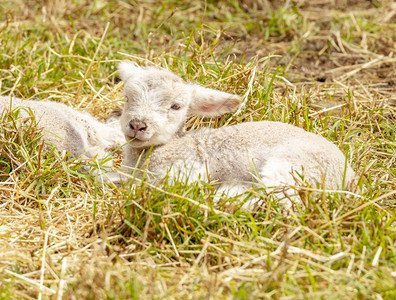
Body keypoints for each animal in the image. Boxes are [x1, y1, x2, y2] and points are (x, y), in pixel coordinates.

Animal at [115, 63, 356, 209]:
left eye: (176, 106)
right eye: (127, 98)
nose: (137, 125)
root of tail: (348, 179)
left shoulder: (187, 170)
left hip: (289, 168)